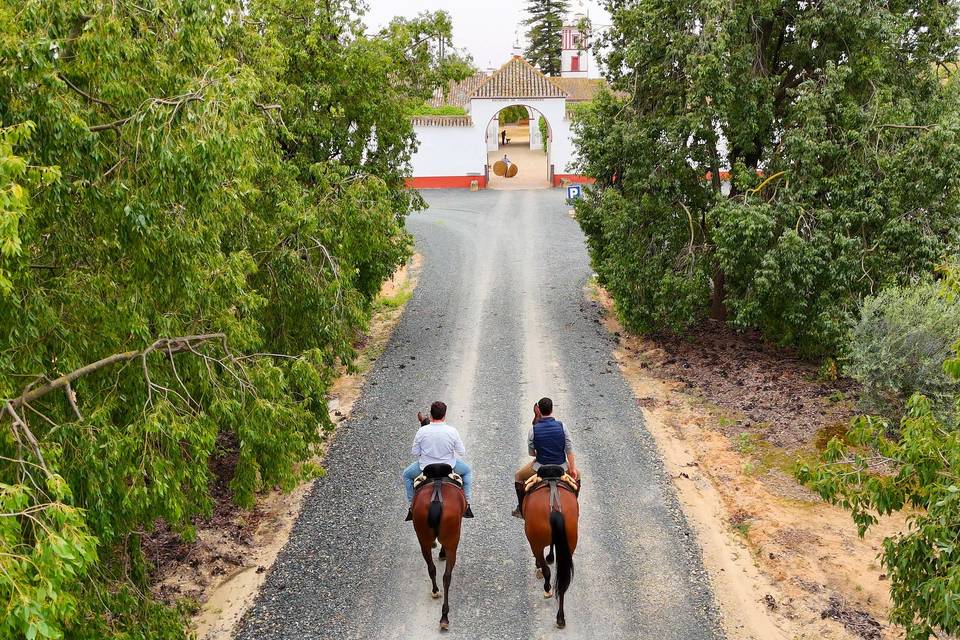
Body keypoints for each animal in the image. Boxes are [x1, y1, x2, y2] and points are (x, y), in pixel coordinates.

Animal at [410, 460, 466, 632]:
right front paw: (441, 553)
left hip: (423, 538)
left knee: (431, 567)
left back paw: (435, 591)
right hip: (452, 541)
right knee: (447, 577)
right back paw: (444, 617)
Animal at [524, 470, 576, 632]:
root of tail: (555, 508)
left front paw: (541, 563)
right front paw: (551, 556)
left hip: (536, 542)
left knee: (547, 570)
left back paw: (547, 589)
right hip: (570, 545)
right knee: (563, 583)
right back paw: (560, 619)